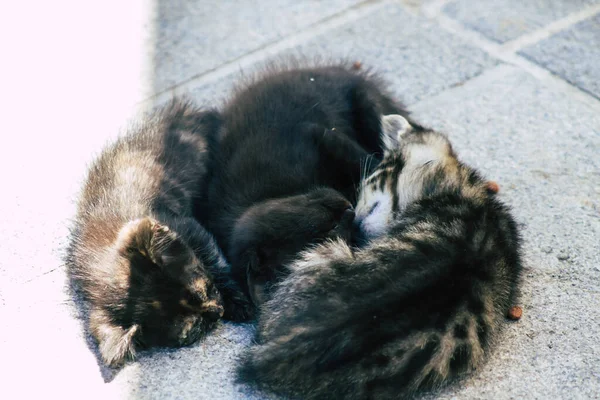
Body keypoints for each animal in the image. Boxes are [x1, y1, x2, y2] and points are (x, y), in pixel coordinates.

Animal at [65, 98, 251, 368]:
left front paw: (240, 302)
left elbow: (216, 260)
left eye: (206, 288)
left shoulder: (186, 226)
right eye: (194, 329)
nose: (218, 311)